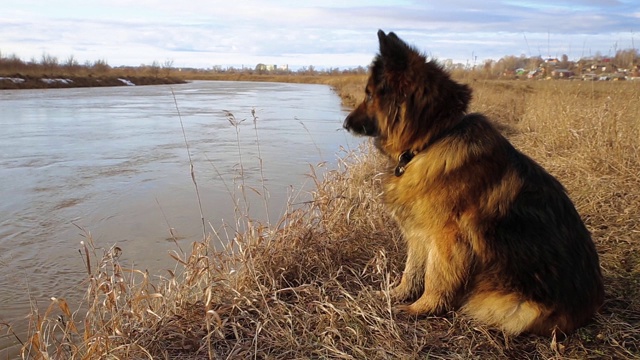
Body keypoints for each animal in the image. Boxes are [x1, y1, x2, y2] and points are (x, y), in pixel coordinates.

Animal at [342, 29, 604, 336]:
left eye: (369, 95)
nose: (345, 124)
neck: (434, 139)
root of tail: (591, 308)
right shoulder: (419, 233)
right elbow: (412, 269)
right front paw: (396, 294)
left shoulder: (448, 237)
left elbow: (435, 276)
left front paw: (422, 308)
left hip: (512, 306)